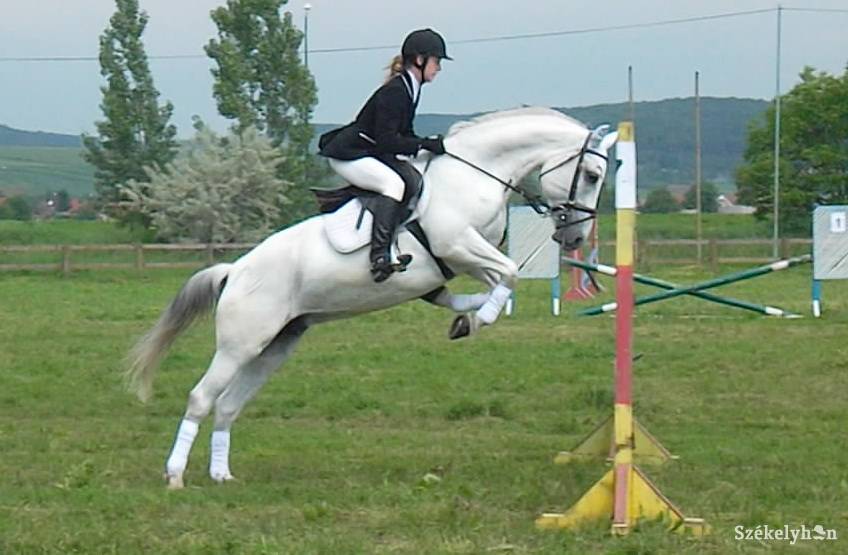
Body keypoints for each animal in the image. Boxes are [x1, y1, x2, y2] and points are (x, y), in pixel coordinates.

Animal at [126, 107, 618, 489]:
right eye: (592, 174)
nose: (574, 238)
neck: (473, 172)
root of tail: (234, 271)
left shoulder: (460, 261)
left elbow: (490, 282)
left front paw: (467, 317)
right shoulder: (457, 245)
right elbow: (509, 273)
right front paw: (478, 319)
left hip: (276, 345)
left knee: (228, 405)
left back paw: (221, 474)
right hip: (240, 343)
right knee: (201, 398)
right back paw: (175, 475)